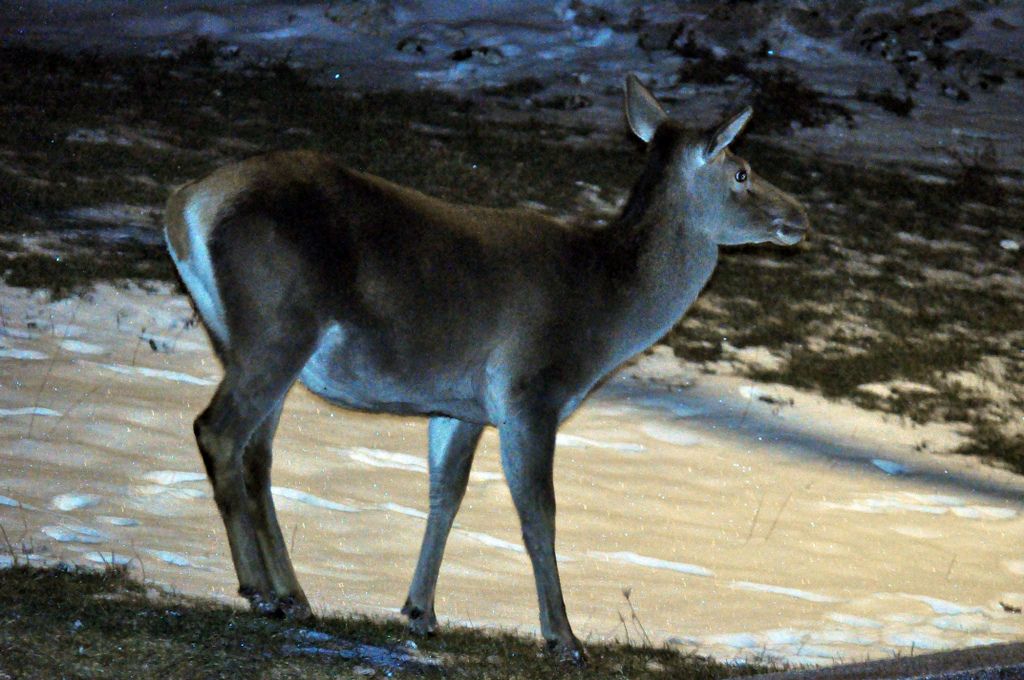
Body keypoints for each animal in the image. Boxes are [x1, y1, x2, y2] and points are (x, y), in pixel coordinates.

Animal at [163, 74, 809, 664]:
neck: (604, 310)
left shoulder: (462, 404)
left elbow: (445, 494)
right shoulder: (529, 392)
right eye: (742, 171)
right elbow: (539, 514)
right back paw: (258, 590)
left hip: (241, 337)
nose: (800, 215)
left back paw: (294, 595)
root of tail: (187, 205)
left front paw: (421, 611)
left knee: (257, 454)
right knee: (217, 430)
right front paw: (564, 638)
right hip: (276, 326)